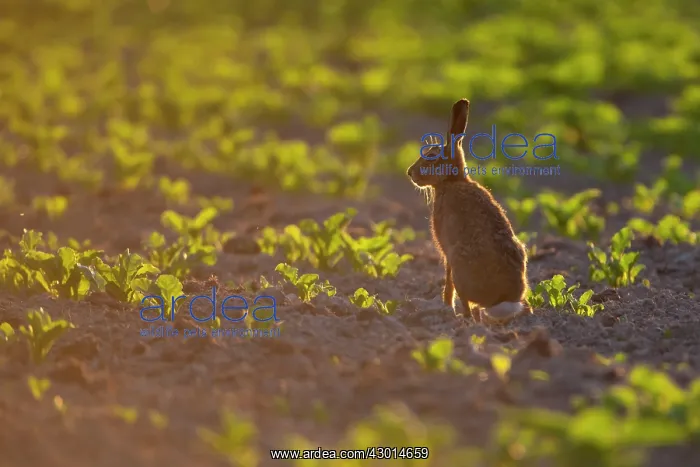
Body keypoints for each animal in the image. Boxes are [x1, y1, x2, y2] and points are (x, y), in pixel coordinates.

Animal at [406, 98, 531, 325]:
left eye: (431, 157)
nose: (410, 173)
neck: (452, 181)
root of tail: (502, 299)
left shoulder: (445, 251)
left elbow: (448, 285)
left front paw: (446, 306)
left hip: (458, 263)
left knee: (466, 304)